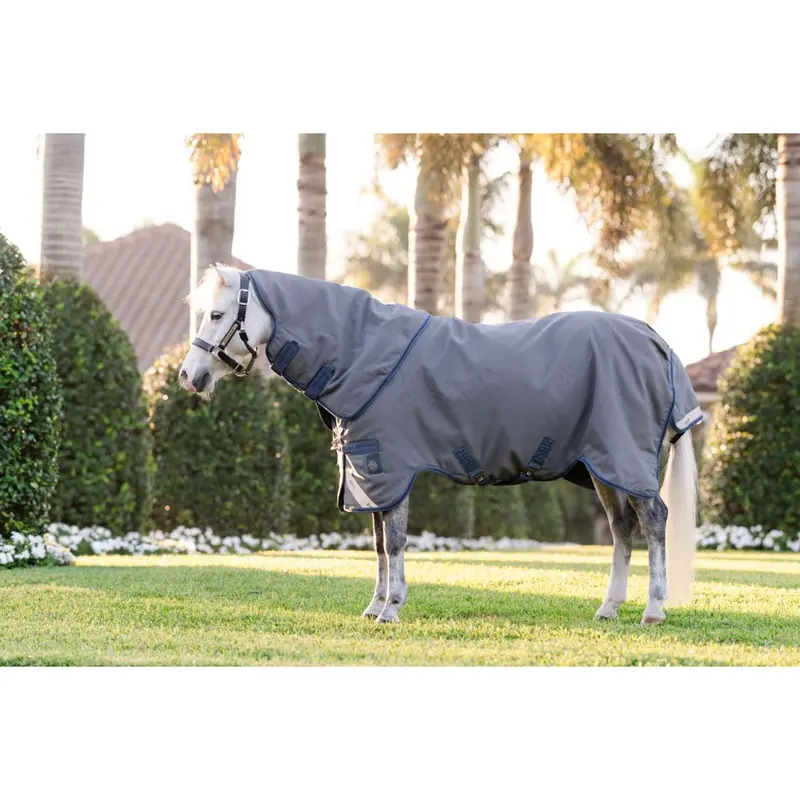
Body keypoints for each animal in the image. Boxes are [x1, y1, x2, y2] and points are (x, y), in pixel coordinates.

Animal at [180, 263, 702, 626]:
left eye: (216, 314)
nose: (189, 376)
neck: (362, 354)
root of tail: (658, 342)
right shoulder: (371, 476)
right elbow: (378, 546)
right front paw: (374, 607)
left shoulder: (390, 469)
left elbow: (393, 543)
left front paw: (391, 609)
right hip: (602, 466)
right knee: (621, 529)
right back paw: (609, 608)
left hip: (624, 458)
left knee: (653, 521)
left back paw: (653, 610)